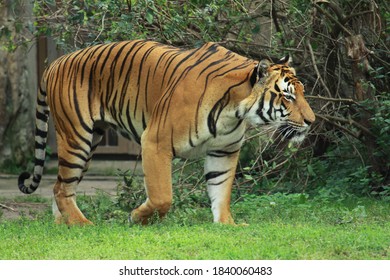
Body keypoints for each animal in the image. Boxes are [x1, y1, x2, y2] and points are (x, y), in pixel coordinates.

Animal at [18, 40, 316, 225]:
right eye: (288, 97)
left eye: (301, 92)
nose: (312, 121)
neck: (234, 111)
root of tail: (55, 62)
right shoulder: (155, 141)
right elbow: (162, 196)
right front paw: (137, 218)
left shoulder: (224, 151)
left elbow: (221, 190)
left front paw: (227, 224)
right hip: (77, 137)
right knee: (61, 187)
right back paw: (82, 224)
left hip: (91, 140)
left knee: (60, 186)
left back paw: (65, 223)